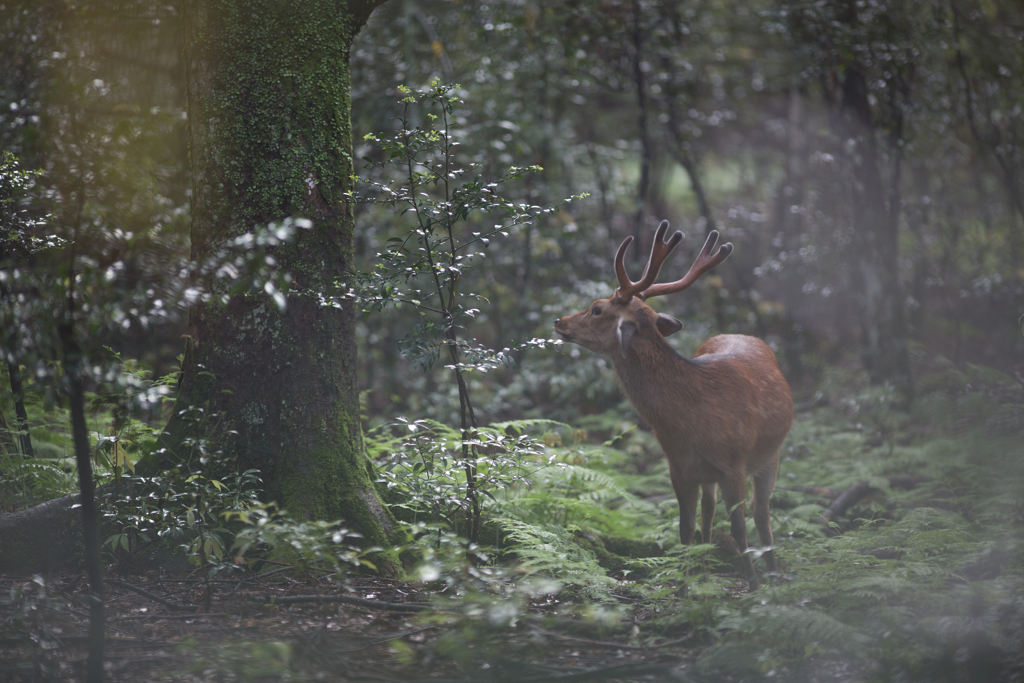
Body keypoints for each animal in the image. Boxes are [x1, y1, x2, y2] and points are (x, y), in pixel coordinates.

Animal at [557, 220, 794, 589]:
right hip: (709, 475)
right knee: (709, 512)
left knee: (761, 513)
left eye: (596, 308)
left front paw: (754, 587)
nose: (560, 321)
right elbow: (685, 530)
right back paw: (707, 573)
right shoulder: (678, 467)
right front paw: (683, 589)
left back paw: (770, 573)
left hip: (772, 455)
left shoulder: (734, 464)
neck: (689, 419)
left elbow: (739, 528)